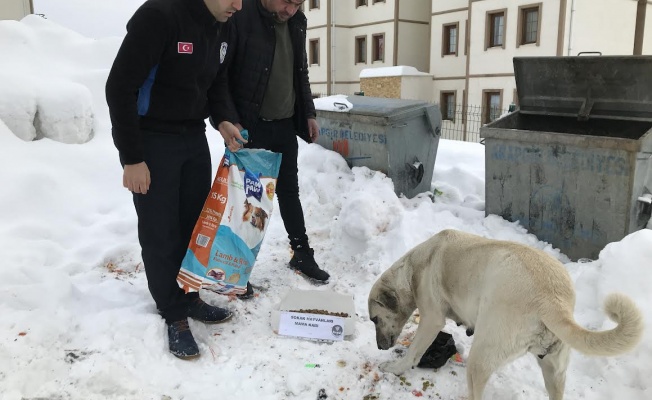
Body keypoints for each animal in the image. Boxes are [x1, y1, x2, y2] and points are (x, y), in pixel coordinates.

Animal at [370, 230, 644, 398]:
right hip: (555, 371)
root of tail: (552, 299)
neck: (414, 267)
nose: (380, 347)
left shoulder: (431, 319)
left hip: (480, 358)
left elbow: (413, 352)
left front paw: (395, 367)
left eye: (374, 319)